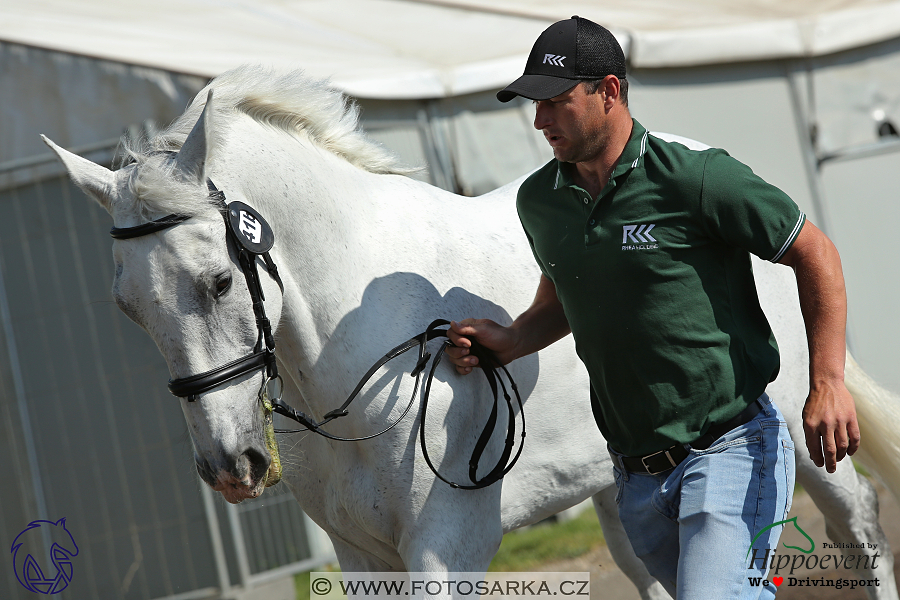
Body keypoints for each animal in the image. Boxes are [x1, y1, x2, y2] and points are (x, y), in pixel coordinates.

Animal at [45, 67, 900, 600]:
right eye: (128, 308)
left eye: (219, 282)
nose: (232, 467)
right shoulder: (362, 559)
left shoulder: (442, 551)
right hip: (617, 491)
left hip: (799, 441)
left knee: (859, 532)